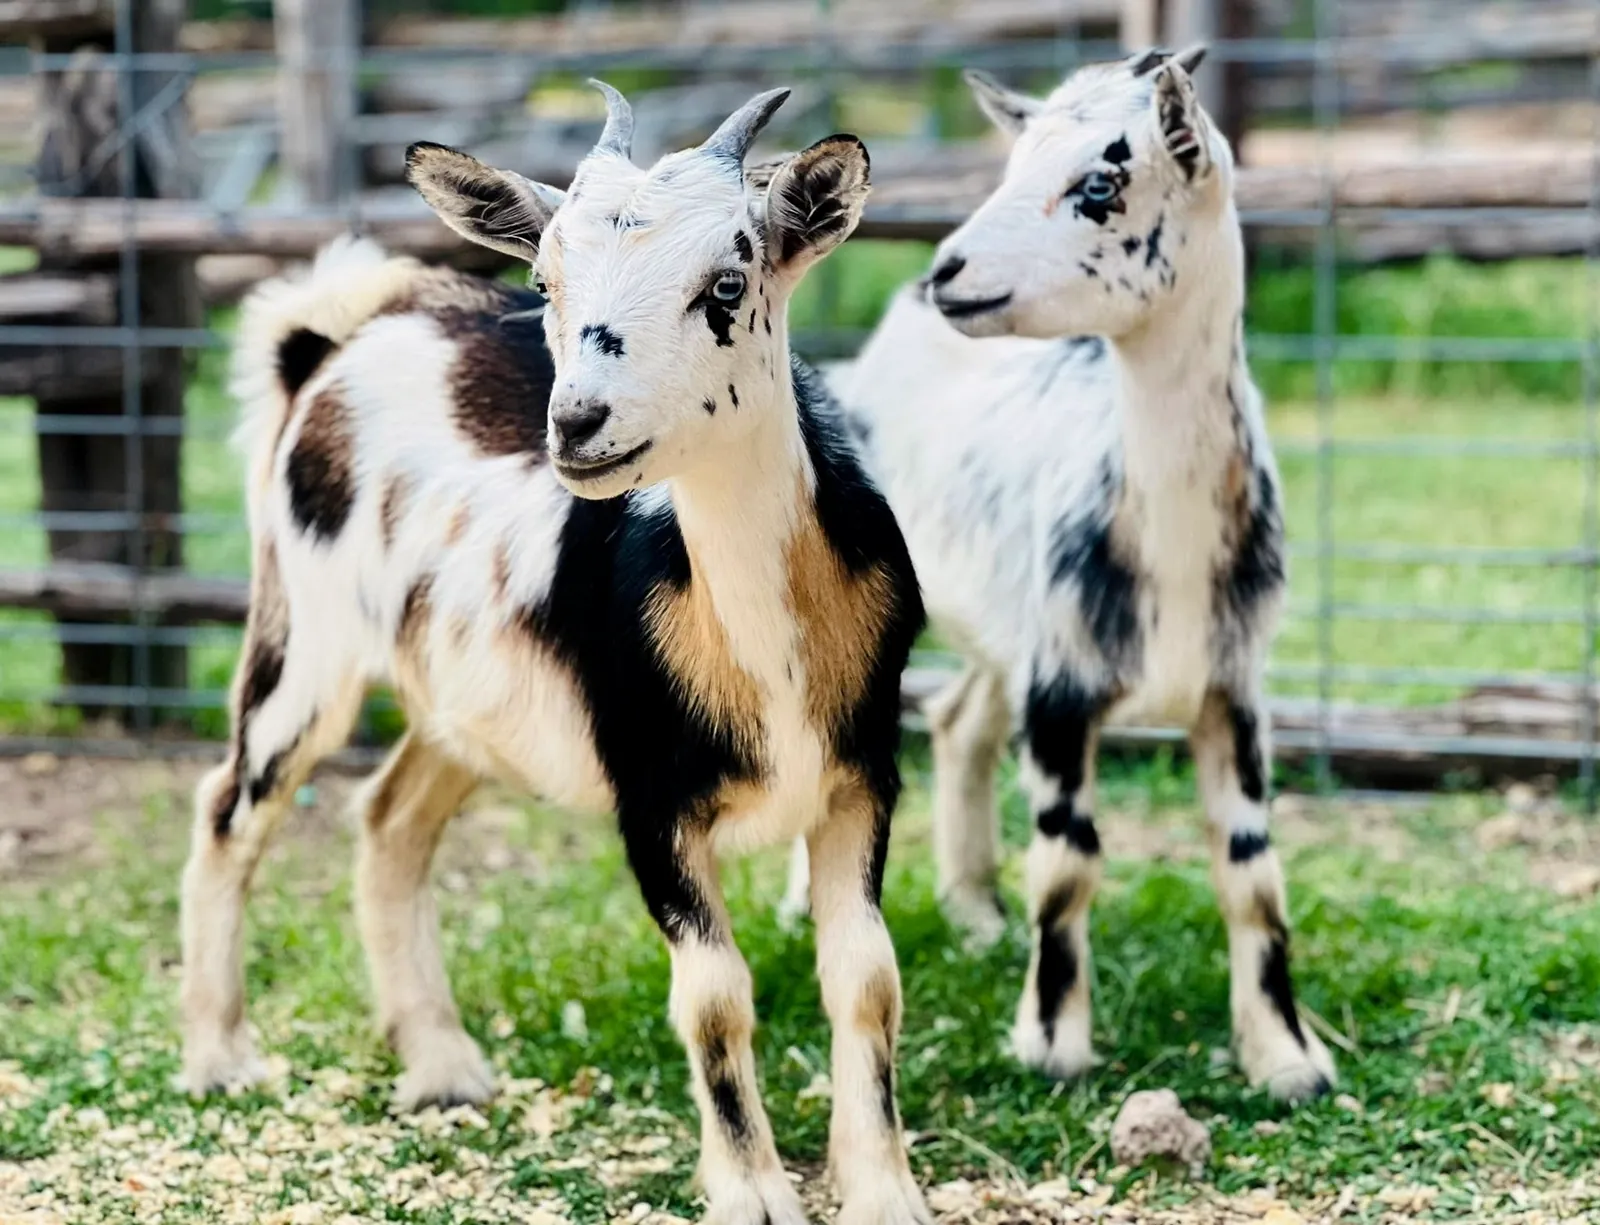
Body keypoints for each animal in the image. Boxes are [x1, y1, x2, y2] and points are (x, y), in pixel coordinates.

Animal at [178, 85, 930, 1225]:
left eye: (728, 282)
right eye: (545, 281)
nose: (578, 423)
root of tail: (337, 335)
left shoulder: (861, 775)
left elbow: (867, 977)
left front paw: (883, 1188)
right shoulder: (649, 794)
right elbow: (715, 996)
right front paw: (750, 1191)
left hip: (460, 695)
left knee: (389, 818)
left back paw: (443, 1065)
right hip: (304, 630)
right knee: (233, 803)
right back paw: (221, 1056)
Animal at [785, 47, 1335, 1103]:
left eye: (1098, 185)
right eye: (1010, 166)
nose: (949, 272)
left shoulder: (1234, 687)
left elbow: (1253, 868)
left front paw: (1287, 1056)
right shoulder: (1063, 685)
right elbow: (1067, 861)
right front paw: (1052, 1042)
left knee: (959, 721)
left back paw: (973, 910)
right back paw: (805, 905)